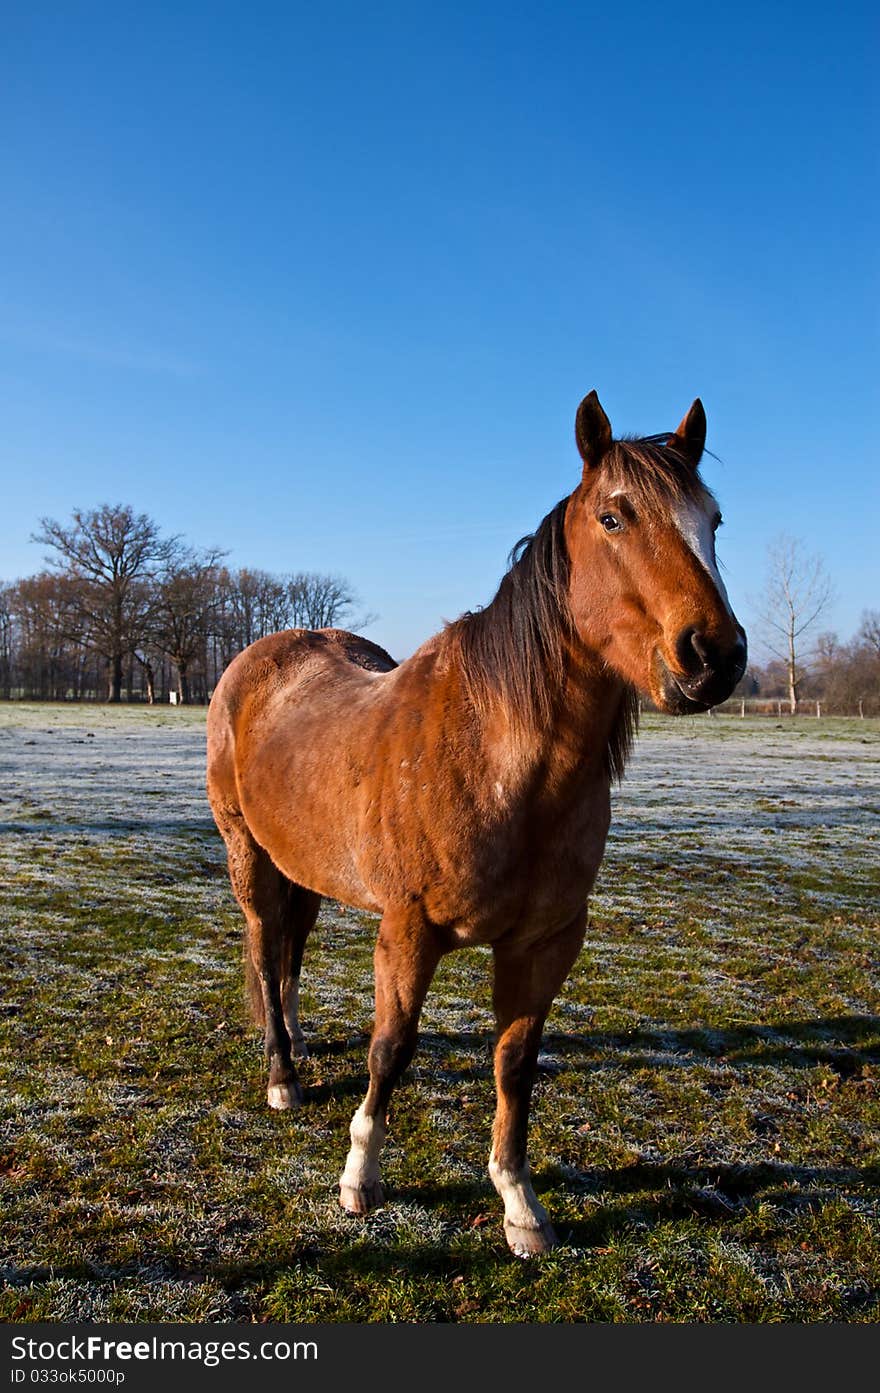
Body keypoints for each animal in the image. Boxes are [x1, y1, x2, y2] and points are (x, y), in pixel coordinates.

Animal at [207, 387, 751, 1259]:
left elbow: (515, 1062)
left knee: (288, 954)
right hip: (248, 855)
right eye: (613, 516)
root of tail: (262, 657)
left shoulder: (546, 942)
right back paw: (282, 1075)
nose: (714, 654)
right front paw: (360, 1178)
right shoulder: (408, 931)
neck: (501, 762)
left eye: (715, 519)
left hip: (305, 866)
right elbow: (391, 1050)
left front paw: (519, 1203)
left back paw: (296, 1038)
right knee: (264, 946)